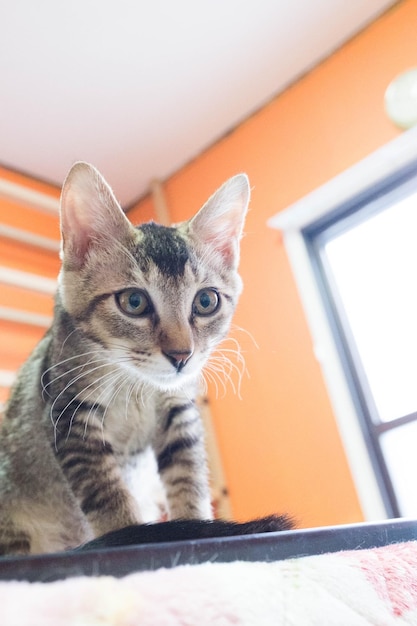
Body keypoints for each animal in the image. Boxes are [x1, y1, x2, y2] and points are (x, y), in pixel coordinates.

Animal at [0, 162, 255, 556]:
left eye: (206, 301)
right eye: (134, 302)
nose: (181, 355)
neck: (136, 385)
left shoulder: (178, 410)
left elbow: (189, 477)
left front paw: (198, 528)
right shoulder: (69, 413)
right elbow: (107, 495)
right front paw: (130, 536)